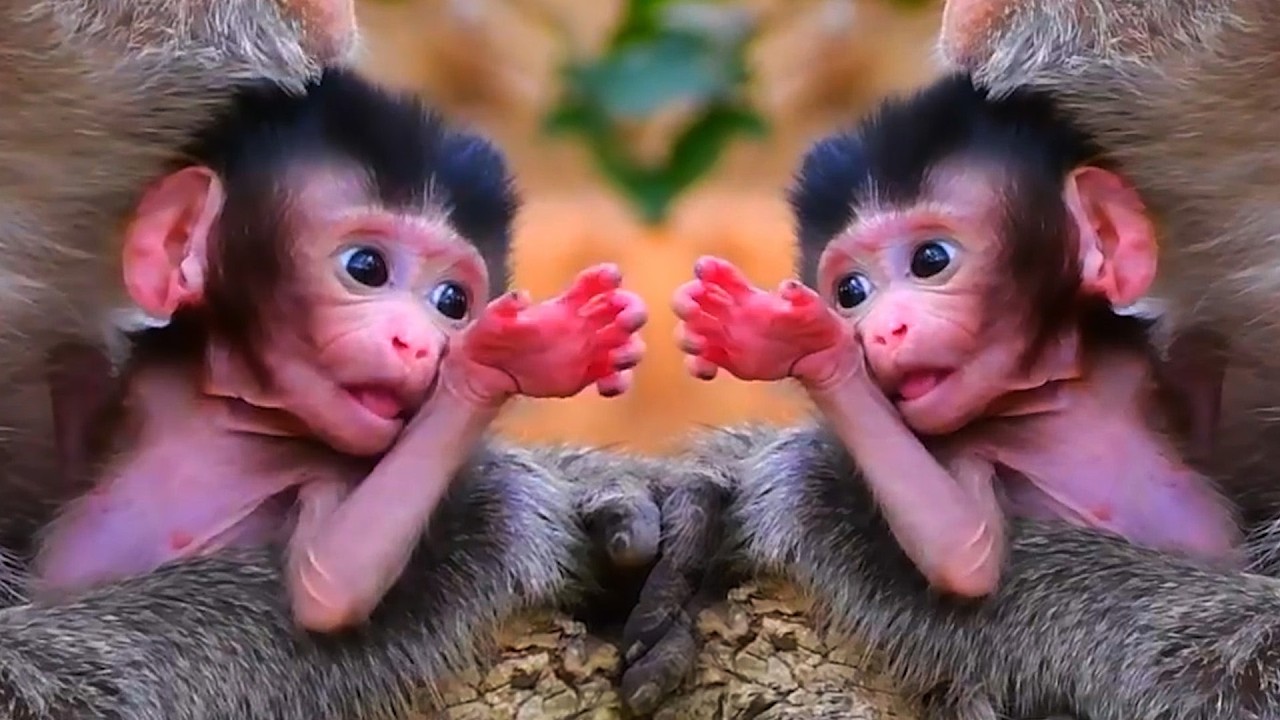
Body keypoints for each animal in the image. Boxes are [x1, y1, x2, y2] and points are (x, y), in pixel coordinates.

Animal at [31, 67, 649, 634]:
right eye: (366, 267)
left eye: (452, 302)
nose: (419, 344)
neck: (235, 413)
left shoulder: (338, 469)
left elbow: (330, 583)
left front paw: (508, 359)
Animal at [671, 73, 1243, 602]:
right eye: (851, 292)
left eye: (931, 259)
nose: (882, 331)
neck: (1053, 395)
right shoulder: (956, 445)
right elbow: (963, 552)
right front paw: (801, 344)